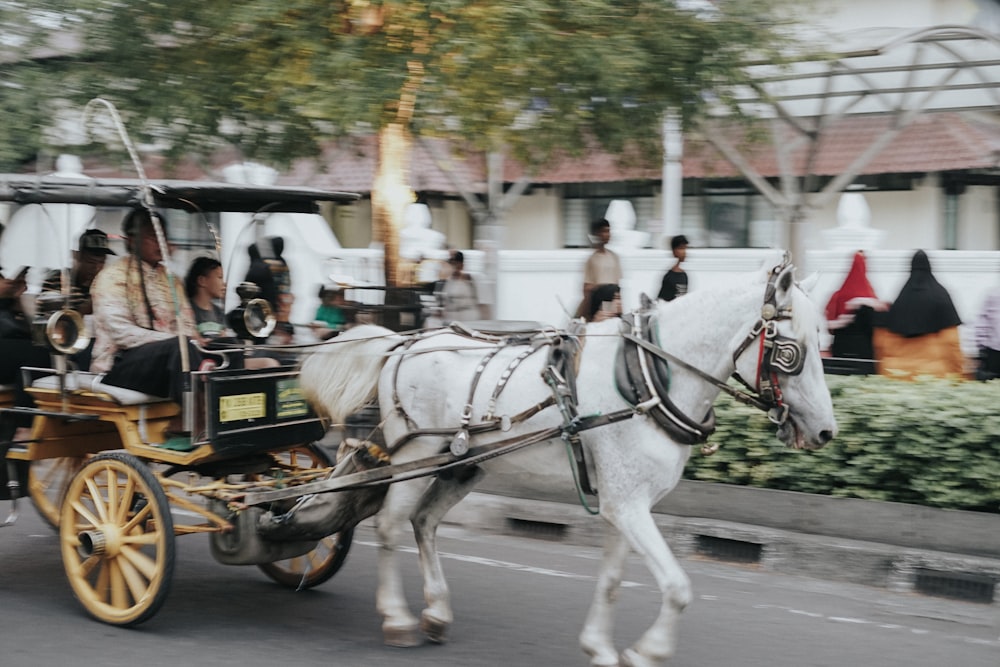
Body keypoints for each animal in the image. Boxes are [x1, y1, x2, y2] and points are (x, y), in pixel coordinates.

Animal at [298, 260, 836, 664]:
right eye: (791, 352)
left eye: (823, 343)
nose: (826, 432)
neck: (648, 378)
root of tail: (403, 343)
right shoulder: (628, 506)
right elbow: (677, 586)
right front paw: (647, 651)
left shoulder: (625, 504)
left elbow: (614, 581)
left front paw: (600, 647)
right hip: (417, 455)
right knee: (391, 525)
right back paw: (398, 618)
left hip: (462, 465)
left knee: (424, 522)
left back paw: (436, 613)